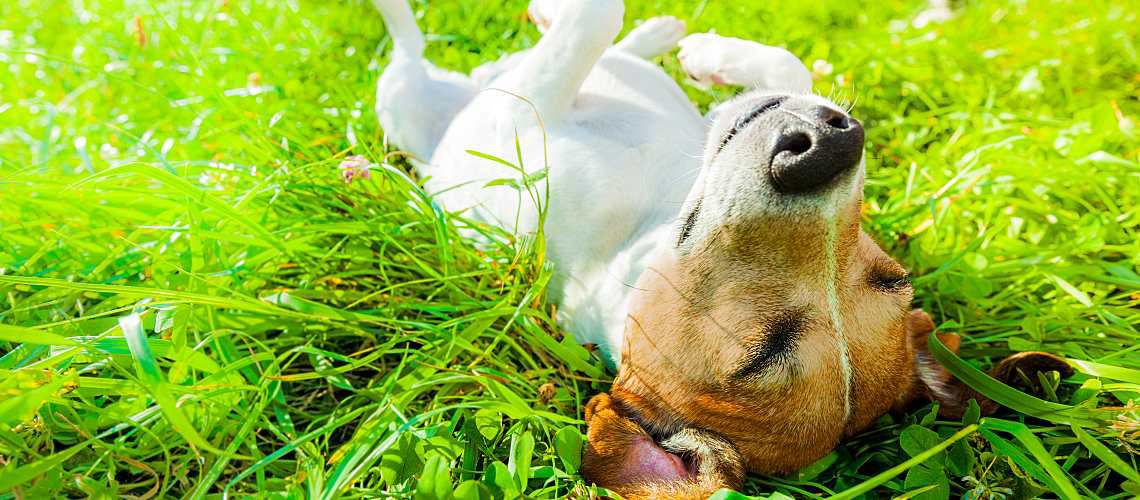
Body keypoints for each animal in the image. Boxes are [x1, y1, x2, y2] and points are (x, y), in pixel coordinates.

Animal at [367, 0, 1067, 496]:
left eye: (761, 354)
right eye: (891, 277)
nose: (826, 147)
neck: (651, 218)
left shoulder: (516, 127)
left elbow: (594, 17)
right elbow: (786, 66)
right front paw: (713, 56)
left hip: (405, 103)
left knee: (408, 48)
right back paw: (656, 34)